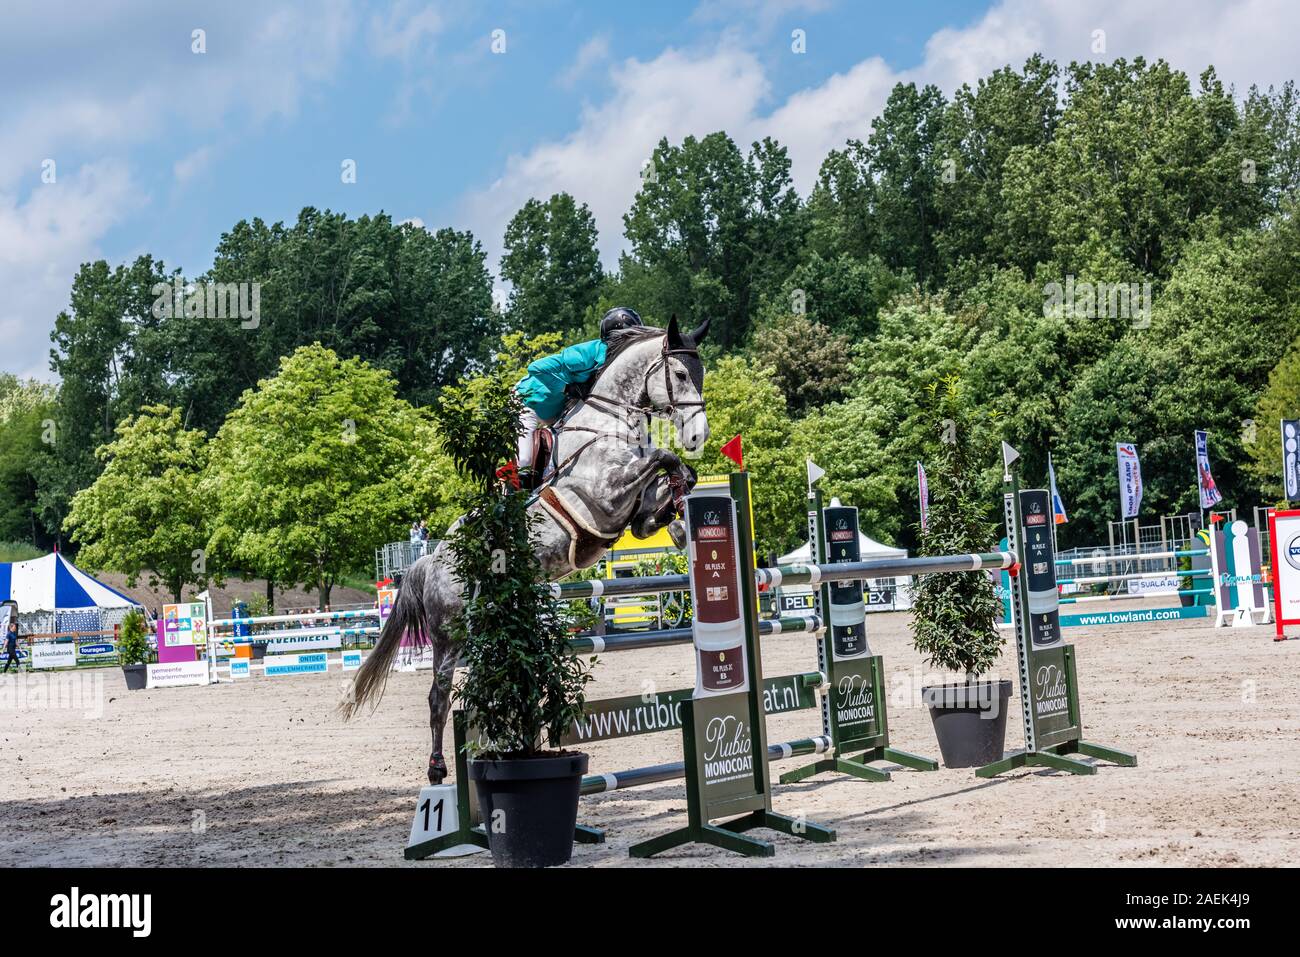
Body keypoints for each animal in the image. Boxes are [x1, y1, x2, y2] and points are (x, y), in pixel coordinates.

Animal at [343, 317, 712, 780]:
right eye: (679, 374)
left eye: (700, 373)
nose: (699, 435)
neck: (607, 422)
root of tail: (432, 560)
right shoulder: (604, 495)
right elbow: (662, 456)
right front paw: (679, 487)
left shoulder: (631, 516)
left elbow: (660, 500)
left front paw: (680, 518)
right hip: (450, 632)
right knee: (438, 694)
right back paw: (438, 769)